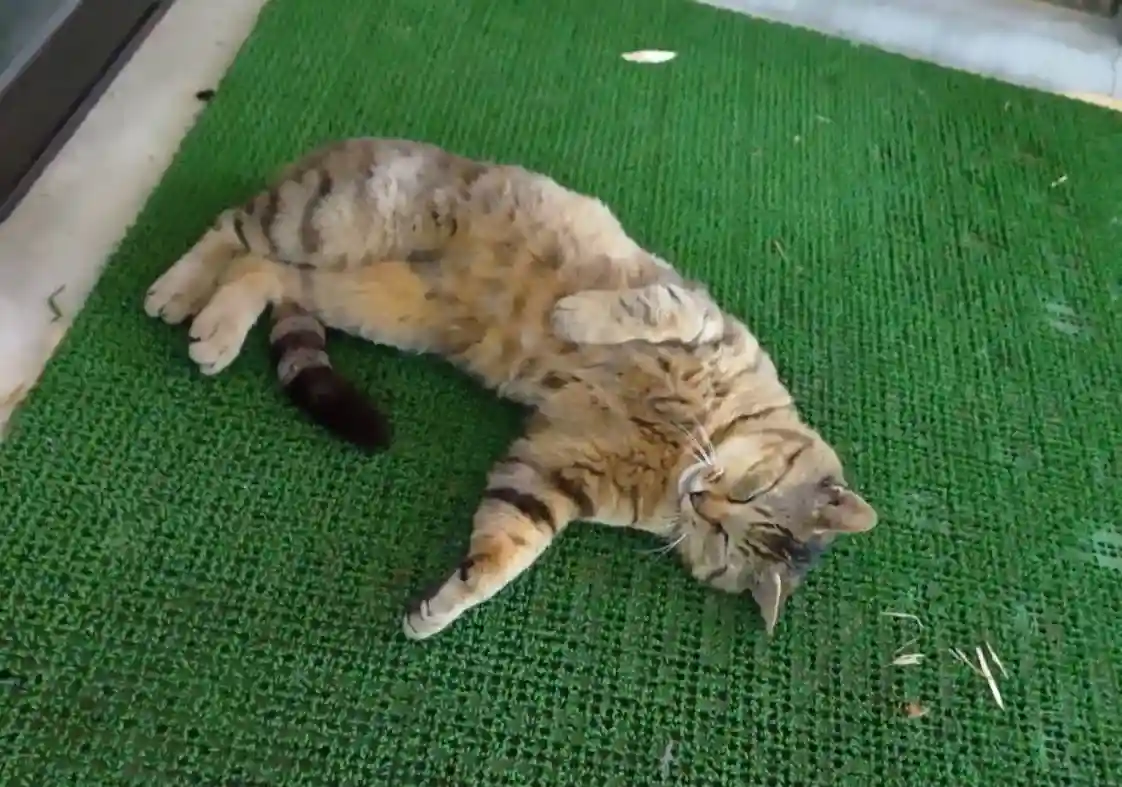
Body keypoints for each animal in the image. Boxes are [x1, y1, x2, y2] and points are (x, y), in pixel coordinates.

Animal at [143, 137, 878, 641]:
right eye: (746, 498)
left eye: (723, 537)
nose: (703, 498)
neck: (684, 447)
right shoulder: (698, 316)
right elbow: (641, 308)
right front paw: (574, 316)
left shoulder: (555, 469)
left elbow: (509, 546)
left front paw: (445, 603)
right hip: (331, 221)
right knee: (233, 228)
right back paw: (179, 293)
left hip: (375, 301)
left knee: (268, 273)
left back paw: (214, 318)